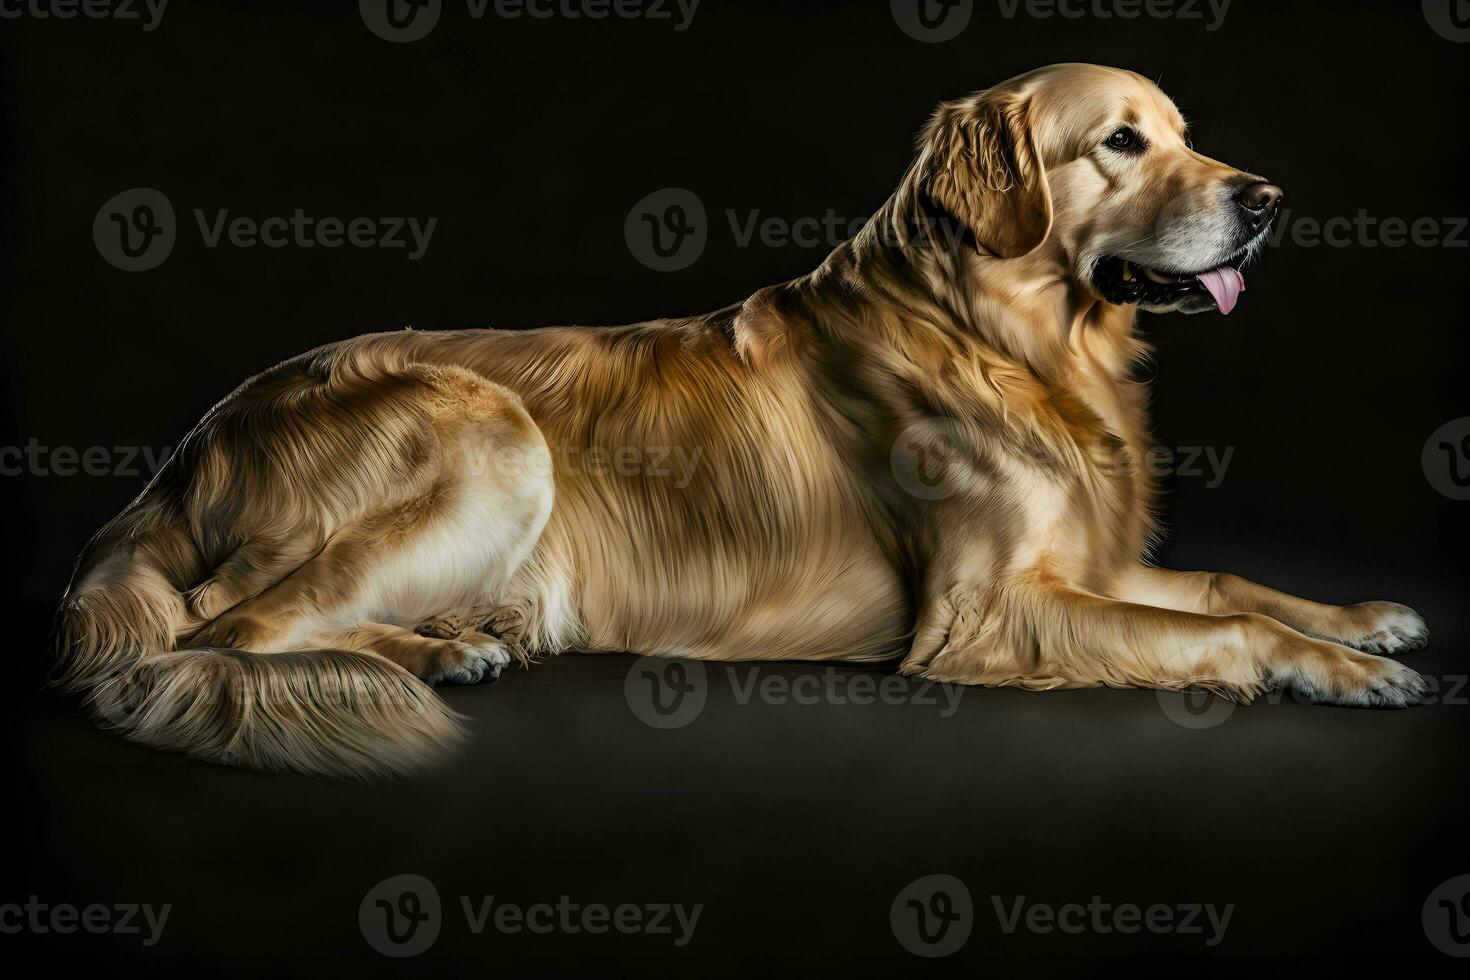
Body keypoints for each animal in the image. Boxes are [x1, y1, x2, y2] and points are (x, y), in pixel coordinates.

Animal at [51, 65, 1428, 775]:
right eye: (1123, 143)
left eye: (1190, 134)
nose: (1269, 200)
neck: (999, 337)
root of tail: (192, 445)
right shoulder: (988, 610)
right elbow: (1225, 629)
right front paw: (1342, 669)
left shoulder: (1084, 562)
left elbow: (1229, 583)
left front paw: (1364, 617)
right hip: (493, 434)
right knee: (223, 625)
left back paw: (447, 647)